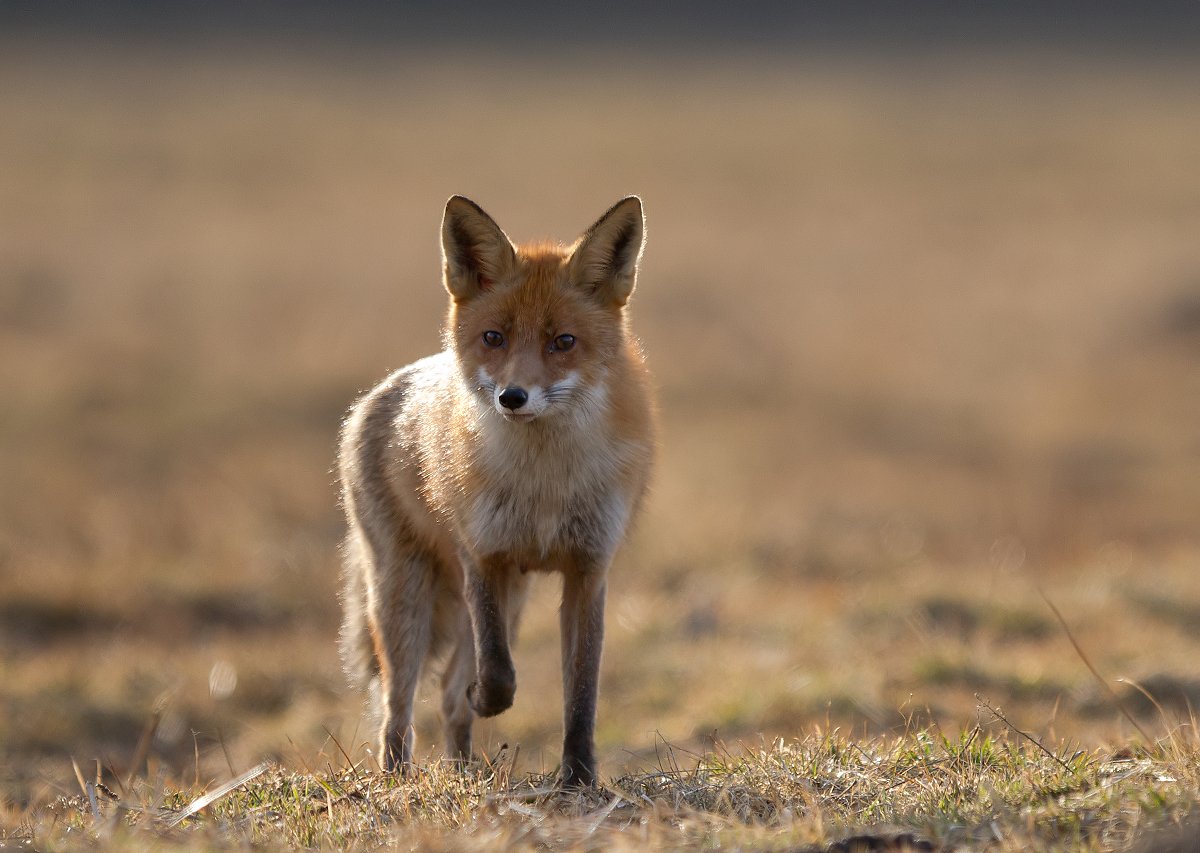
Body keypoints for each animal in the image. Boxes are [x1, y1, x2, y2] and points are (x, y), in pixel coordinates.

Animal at [338, 193, 657, 787]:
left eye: (563, 342)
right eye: (494, 338)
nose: (513, 396)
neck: (544, 487)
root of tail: (382, 390)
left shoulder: (588, 569)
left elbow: (582, 691)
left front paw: (579, 778)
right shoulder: (482, 555)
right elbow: (500, 670)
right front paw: (489, 699)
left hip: (512, 593)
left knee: (444, 695)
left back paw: (464, 775)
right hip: (405, 593)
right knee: (399, 704)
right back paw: (397, 781)